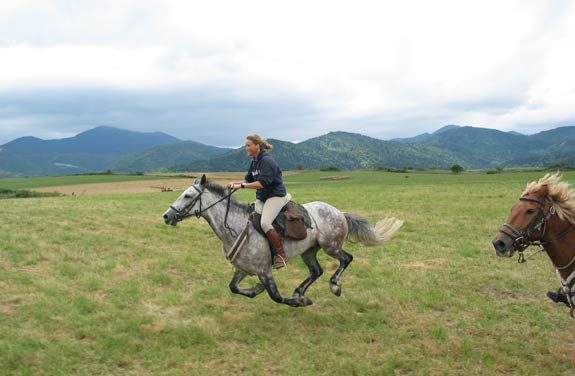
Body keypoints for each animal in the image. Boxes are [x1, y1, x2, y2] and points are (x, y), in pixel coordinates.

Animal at [163, 175, 404, 306]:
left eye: (187, 196)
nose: (166, 216)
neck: (234, 226)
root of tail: (340, 213)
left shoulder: (264, 270)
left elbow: (276, 296)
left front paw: (299, 302)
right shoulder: (243, 268)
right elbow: (233, 287)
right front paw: (255, 290)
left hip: (331, 246)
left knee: (347, 258)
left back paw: (333, 287)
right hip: (309, 251)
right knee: (316, 271)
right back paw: (300, 290)